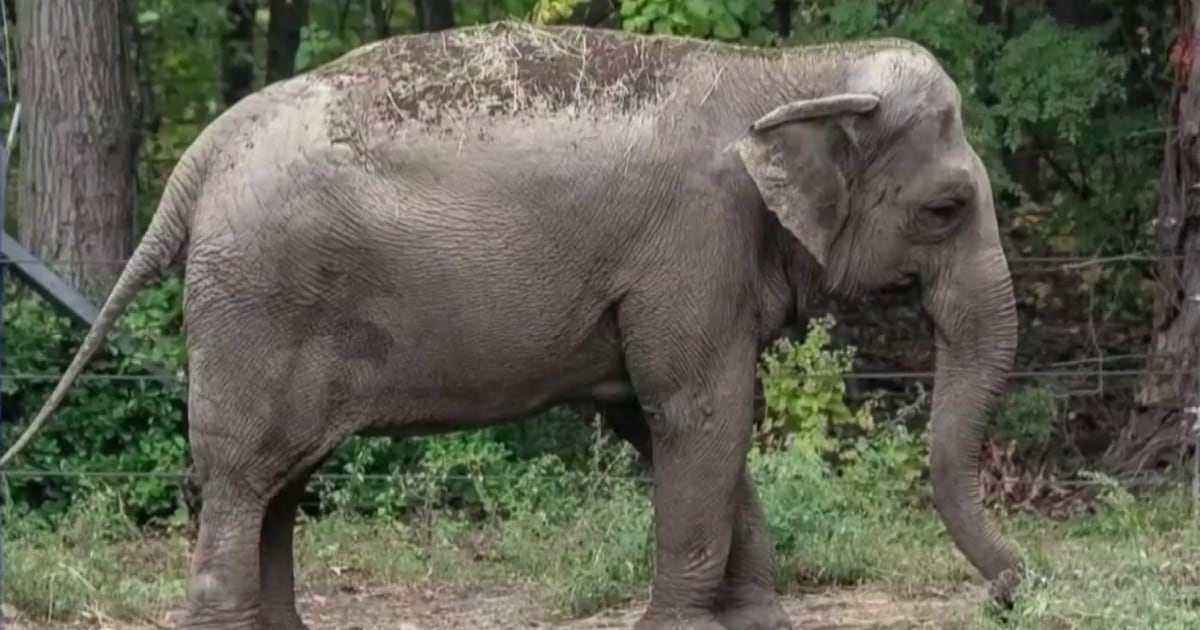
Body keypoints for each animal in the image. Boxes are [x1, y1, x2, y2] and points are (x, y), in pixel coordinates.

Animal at [1, 21, 1023, 630]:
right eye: (945, 209)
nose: (1014, 593)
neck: (789, 71)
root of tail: (202, 154)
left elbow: (669, 419)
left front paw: (752, 621)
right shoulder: (691, 246)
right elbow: (700, 410)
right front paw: (685, 626)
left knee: (277, 487)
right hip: (258, 303)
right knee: (244, 477)